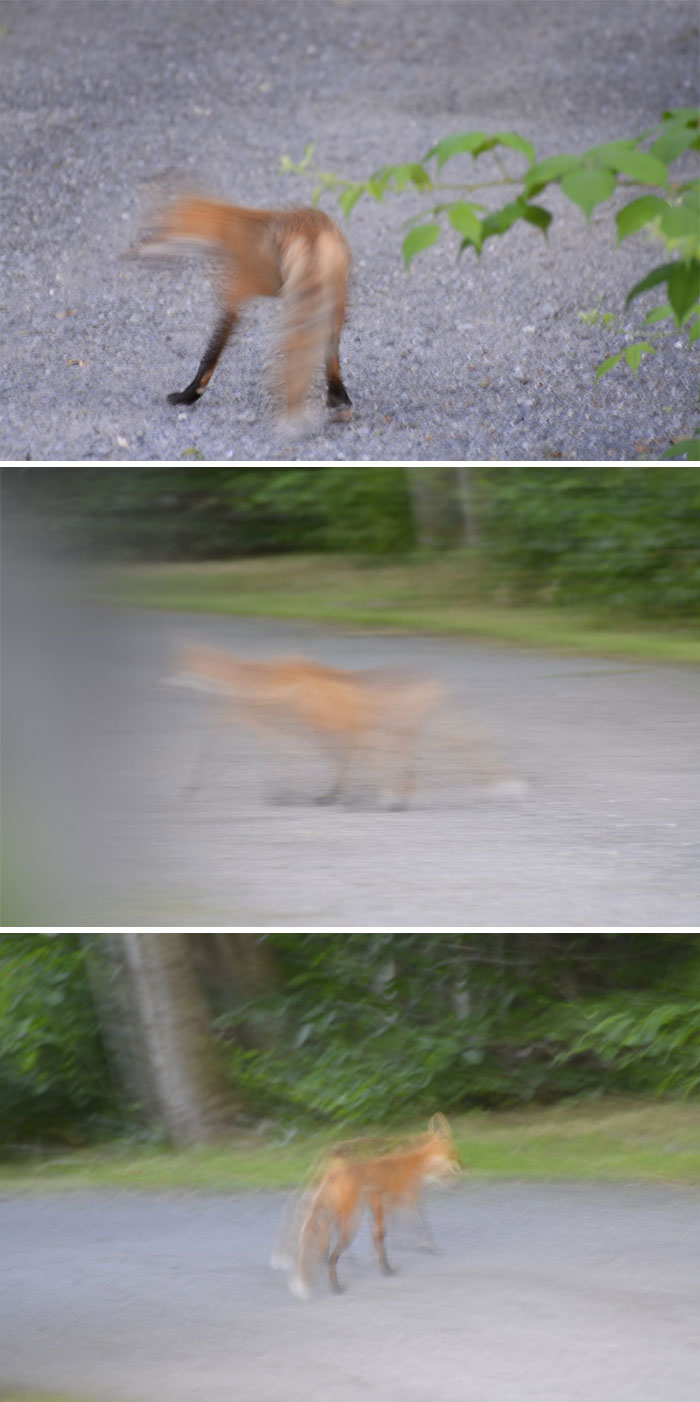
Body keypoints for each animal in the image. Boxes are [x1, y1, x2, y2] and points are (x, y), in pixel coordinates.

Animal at [129, 192, 352, 421]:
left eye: (158, 230)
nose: (131, 251)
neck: (226, 229)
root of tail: (312, 232)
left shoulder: (233, 297)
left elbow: (210, 355)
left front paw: (189, 394)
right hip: (333, 301)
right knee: (329, 350)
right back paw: (337, 396)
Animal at [164, 643, 446, 809]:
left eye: (178, 667)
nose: (162, 680)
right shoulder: (255, 723)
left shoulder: (266, 725)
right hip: (327, 726)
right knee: (360, 749)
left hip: (327, 725)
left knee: (362, 748)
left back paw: (383, 793)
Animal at [273, 1114, 460, 1299]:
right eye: (453, 1153)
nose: (461, 1169)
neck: (414, 1159)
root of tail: (332, 1150)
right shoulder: (386, 1198)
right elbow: (397, 1230)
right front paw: (392, 1260)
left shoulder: (394, 1199)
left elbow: (391, 1231)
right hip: (351, 1215)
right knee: (323, 1231)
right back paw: (334, 1280)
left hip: (342, 1205)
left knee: (318, 1222)